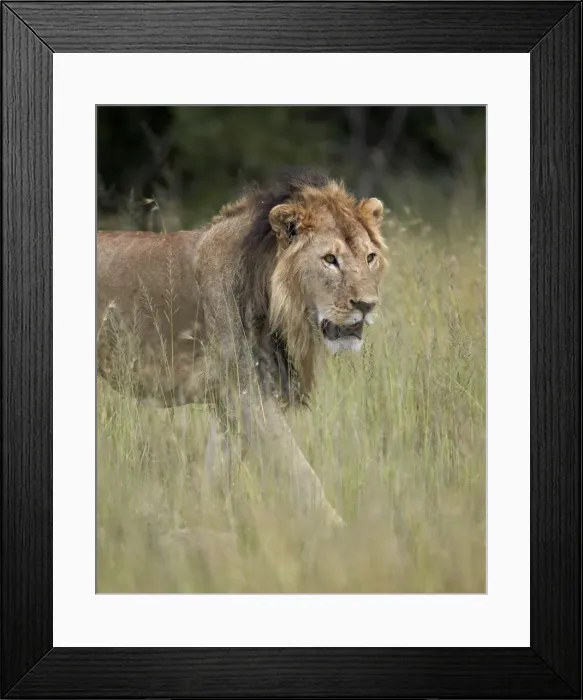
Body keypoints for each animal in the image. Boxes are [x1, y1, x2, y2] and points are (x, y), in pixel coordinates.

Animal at [97, 169, 388, 526]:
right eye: (330, 259)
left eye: (370, 257)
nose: (367, 305)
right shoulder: (246, 393)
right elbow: (301, 474)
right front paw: (339, 530)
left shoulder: (230, 398)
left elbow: (216, 470)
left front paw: (204, 518)